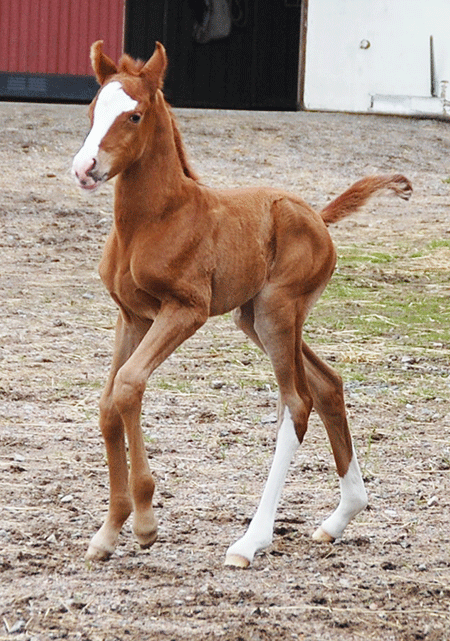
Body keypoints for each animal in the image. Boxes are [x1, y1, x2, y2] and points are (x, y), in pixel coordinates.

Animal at [72, 41, 414, 564]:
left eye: (134, 115)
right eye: (92, 110)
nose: (85, 169)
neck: (154, 221)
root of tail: (317, 216)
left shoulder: (184, 310)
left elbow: (129, 385)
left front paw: (146, 522)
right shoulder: (131, 316)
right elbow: (110, 402)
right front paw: (109, 531)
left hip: (277, 312)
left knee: (297, 403)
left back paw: (251, 541)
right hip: (255, 318)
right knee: (328, 384)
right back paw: (339, 518)